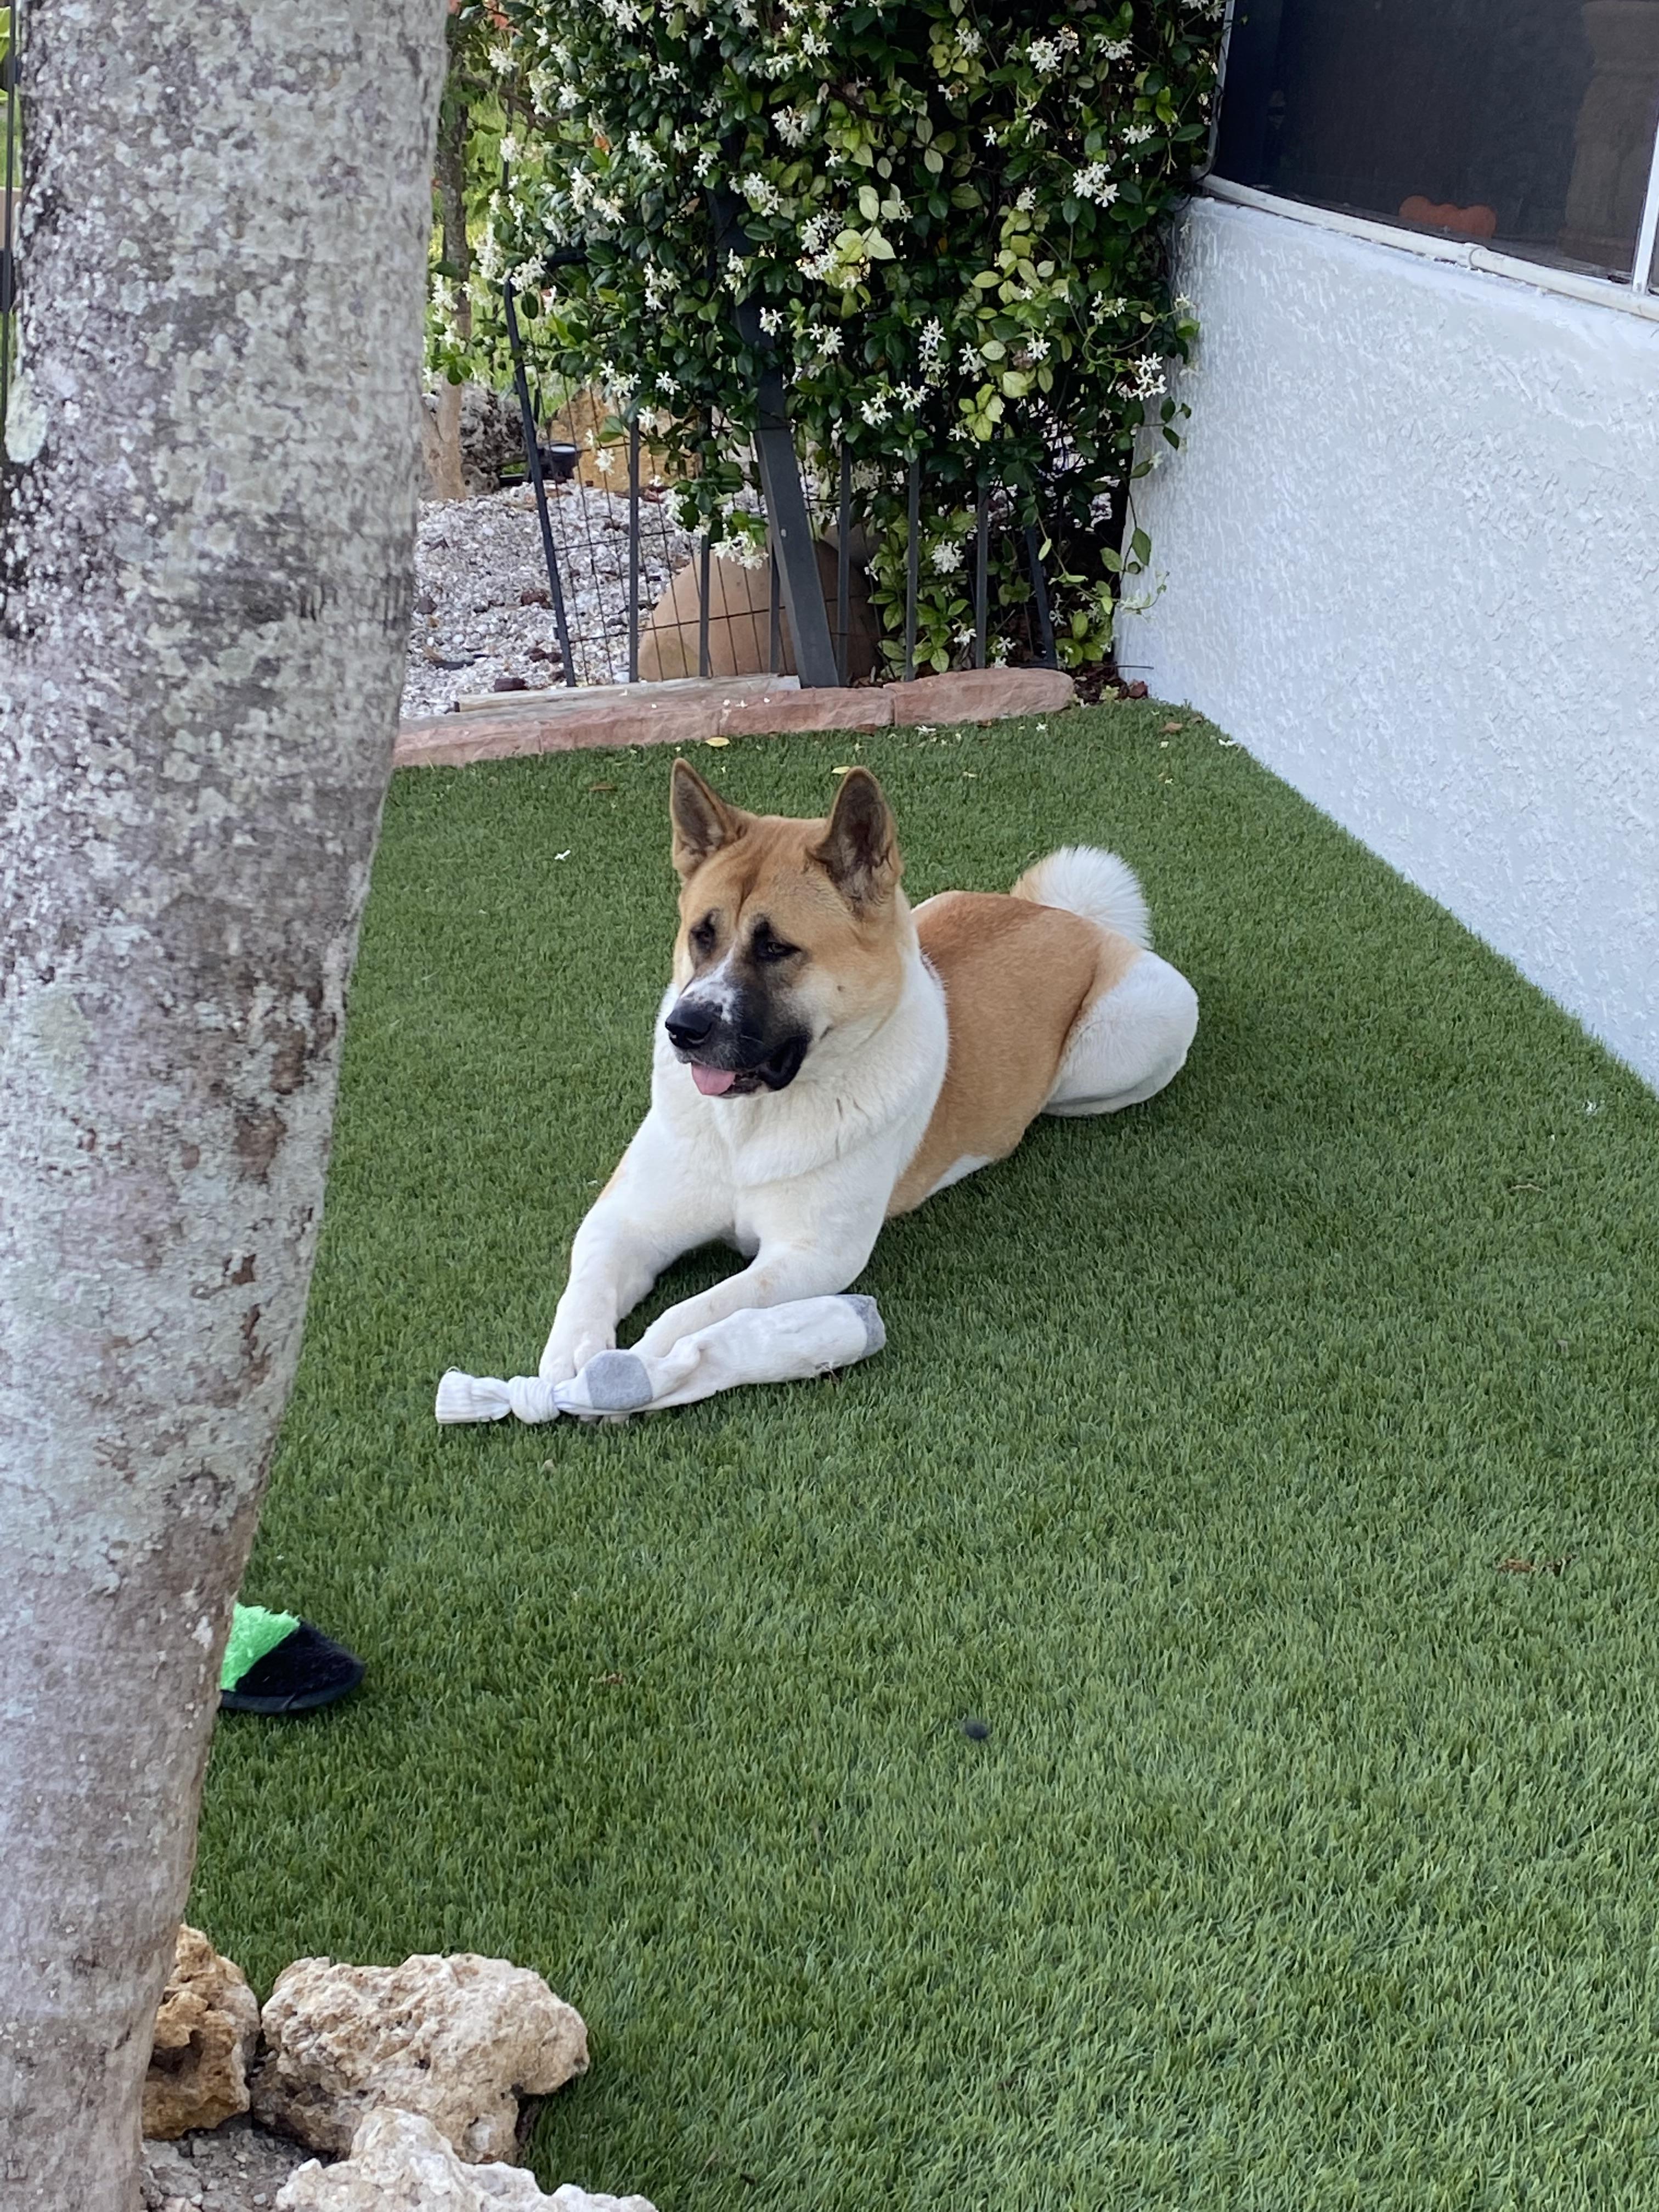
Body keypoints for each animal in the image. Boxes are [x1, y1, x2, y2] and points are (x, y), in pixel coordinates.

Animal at [539, 759, 1199, 1382]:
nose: (684, 1028)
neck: (752, 1125)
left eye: (776, 948)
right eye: (702, 934)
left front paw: (640, 1369)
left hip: (1127, 1039)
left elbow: (693, 1311)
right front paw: (572, 1358)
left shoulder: (814, 1257)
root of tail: (1070, 918)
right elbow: (589, 1277)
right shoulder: (627, 1221)